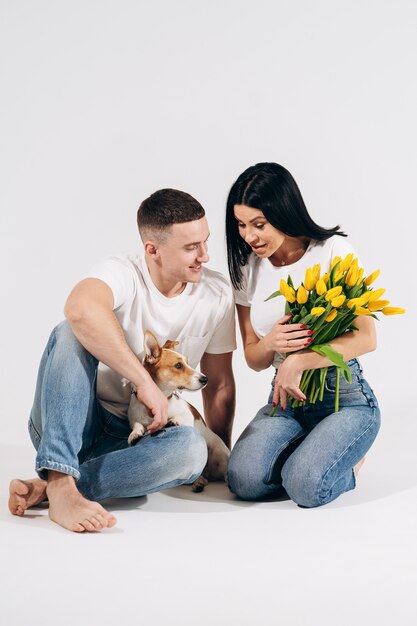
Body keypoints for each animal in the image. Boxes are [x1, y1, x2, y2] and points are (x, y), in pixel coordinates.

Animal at [123, 330, 229, 490]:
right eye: (178, 365)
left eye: (187, 363)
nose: (205, 379)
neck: (161, 397)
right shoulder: (134, 417)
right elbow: (137, 424)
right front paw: (135, 433)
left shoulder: (188, 415)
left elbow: (180, 418)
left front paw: (173, 421)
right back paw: (199, 481)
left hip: (219, 453)